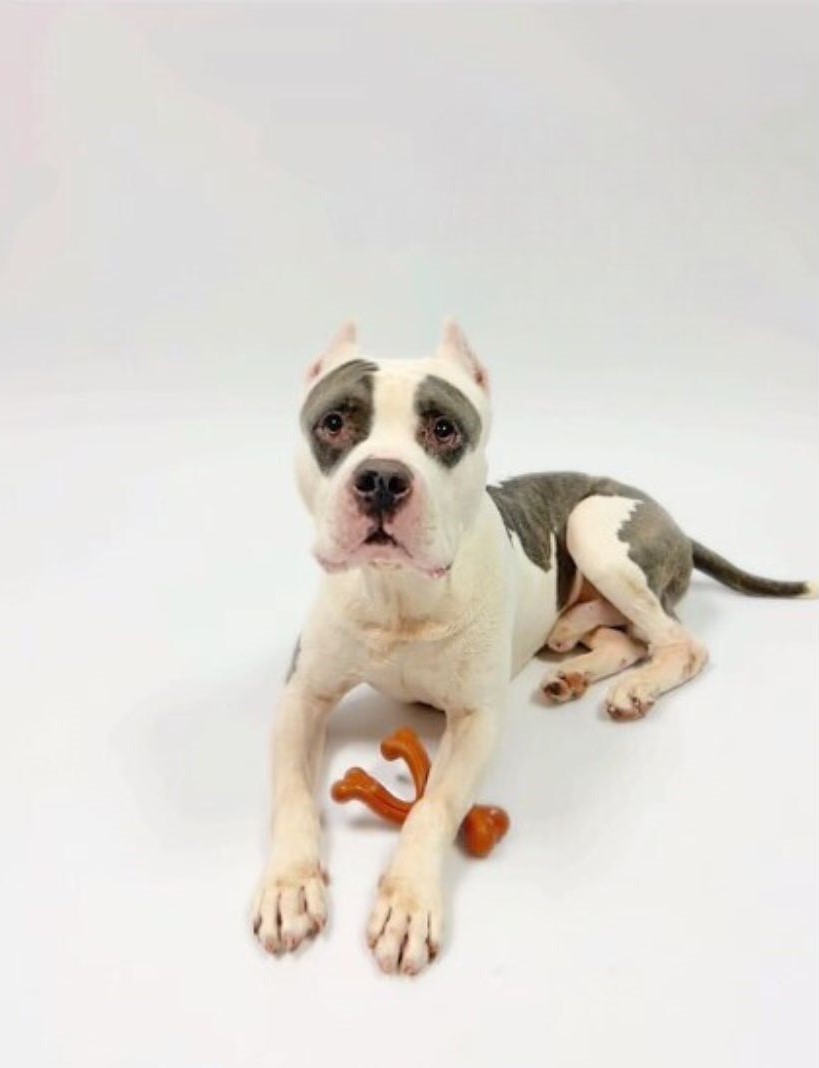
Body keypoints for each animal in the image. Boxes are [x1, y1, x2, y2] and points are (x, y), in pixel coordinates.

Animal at [253, 318, 815, 978]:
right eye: (334, 423)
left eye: (443, 429)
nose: (384, 479)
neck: (400, 595)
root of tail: (665, 514)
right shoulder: (303, 696)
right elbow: (292, 793)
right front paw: (289, 888)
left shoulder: (476, 720)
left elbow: (433, 807)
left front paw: (408, 905)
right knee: (621, 637)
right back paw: (573, 664)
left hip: (597, 528)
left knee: (680, 642)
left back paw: (633, 688)